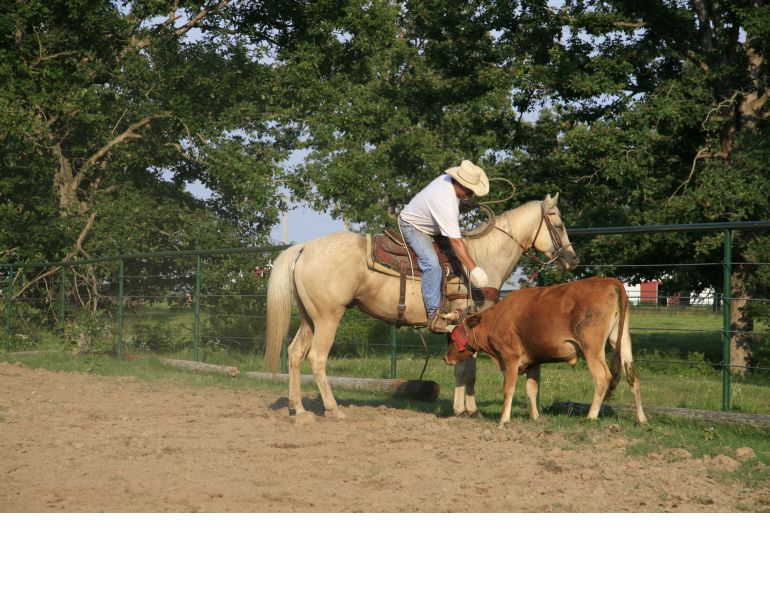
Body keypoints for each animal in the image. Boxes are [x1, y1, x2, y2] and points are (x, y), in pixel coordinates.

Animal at [264, 193, 579, 420]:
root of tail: (305, 248)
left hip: (310, 318)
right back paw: (333, 409)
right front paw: (463, 410)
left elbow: (467, 369)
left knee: (295, 354)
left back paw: (299, 409)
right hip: (329, 317)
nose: (573, 259)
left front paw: (468, 408)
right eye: (559, 225)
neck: (479, 260)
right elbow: (466, 370)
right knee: (317, 358)